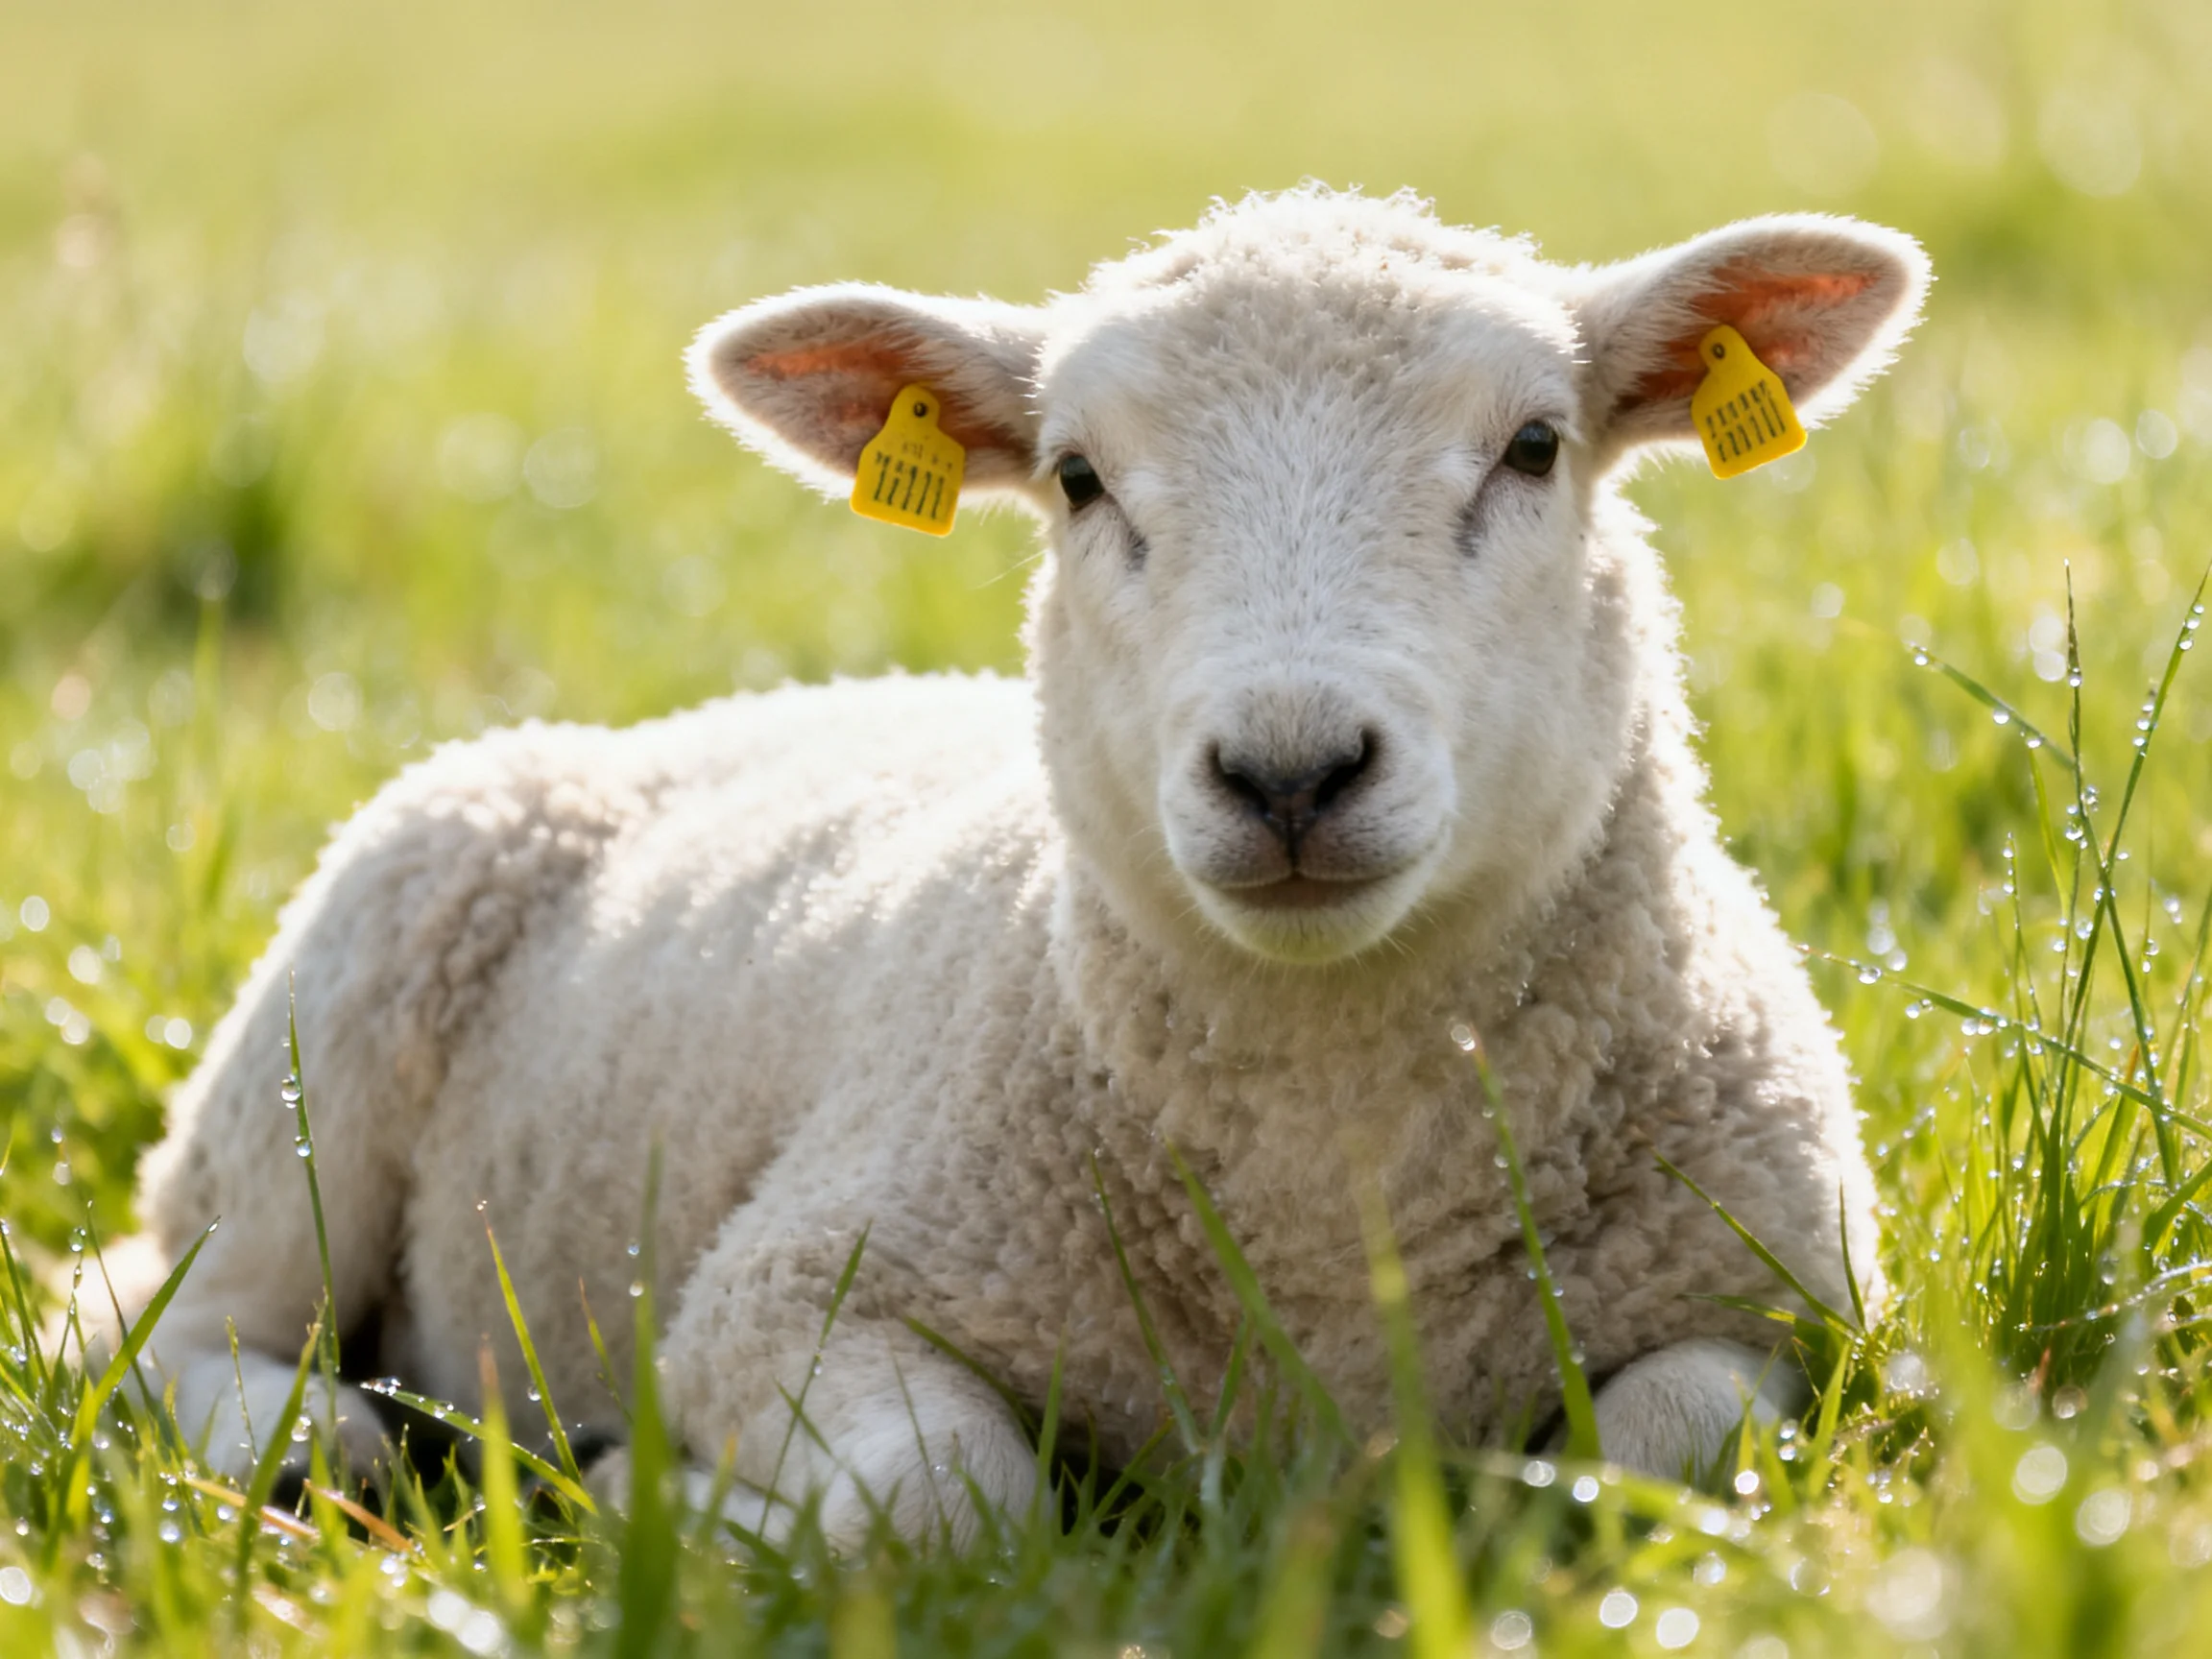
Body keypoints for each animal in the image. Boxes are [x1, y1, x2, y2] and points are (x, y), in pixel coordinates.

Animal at [110, 188, 1926, 1547]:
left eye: (1536, 446)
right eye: (1076, 478)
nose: (1288, 769)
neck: (1336, 1198)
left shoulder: (1792, 1308)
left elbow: (1665, 1451)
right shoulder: (784, 1287)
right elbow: (950, 1501)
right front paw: (651, 1498)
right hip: (306, 1080)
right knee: (149, 1314)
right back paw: (305, 1438)